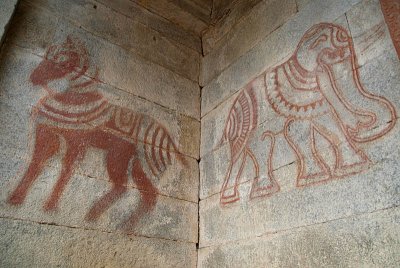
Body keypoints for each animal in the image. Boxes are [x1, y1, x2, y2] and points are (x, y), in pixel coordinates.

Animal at [219, 22, 396, 205]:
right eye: (329, 54)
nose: (359, 125)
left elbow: (317, 126)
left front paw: (345, 169)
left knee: (253, 148)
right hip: (243, 125)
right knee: (249, 148)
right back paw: (244, 194)